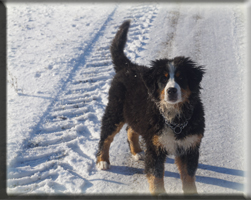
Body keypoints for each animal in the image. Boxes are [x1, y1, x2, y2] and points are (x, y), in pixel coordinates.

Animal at [95, 19, 205, 195]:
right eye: (163, 79)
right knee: (106, 136)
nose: (171, 90)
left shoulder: (189, 145)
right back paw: (102, 161)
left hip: (136, 114)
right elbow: (156, 177)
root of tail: (128, 67)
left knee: (130, 129)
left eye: (181, 78)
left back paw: (137, 151)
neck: (174, 119)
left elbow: (188, 178)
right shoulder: (155, 148)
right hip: (115, 110)